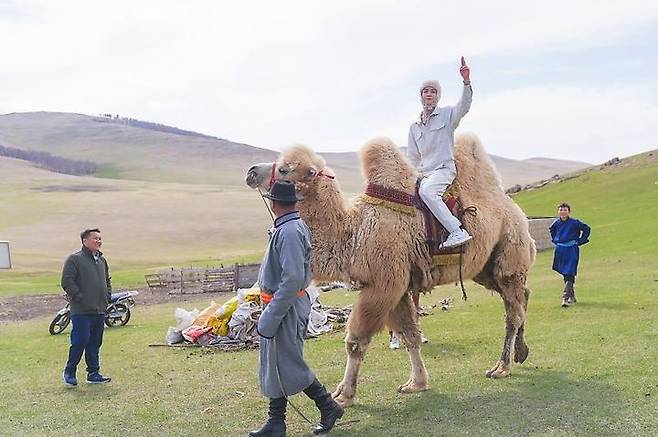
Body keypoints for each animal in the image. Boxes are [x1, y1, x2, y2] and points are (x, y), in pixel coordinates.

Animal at [243, 133, 536, 406]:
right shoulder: (398, 287)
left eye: (284, 169)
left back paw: (501, 367)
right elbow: (409, 336)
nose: (251, 171)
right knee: (523, 296)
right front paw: (416, 383)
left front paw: (344, 395)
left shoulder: (384, 284)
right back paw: (521, 352)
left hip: (509, 252)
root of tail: (514, 208)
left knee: (513, 311)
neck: (354, 231)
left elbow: (356, 342)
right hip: (486, 268)